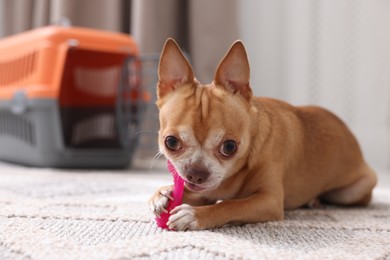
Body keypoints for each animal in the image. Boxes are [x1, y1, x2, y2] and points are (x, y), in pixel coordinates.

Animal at [149, 38, 374, 230]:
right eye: (171, 142)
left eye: (229, 147)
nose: (196, 173)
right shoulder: (205, 191)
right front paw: (162, 194)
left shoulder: (269, 201)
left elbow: (230, 205)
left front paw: (194, 215)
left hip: (354, 190)